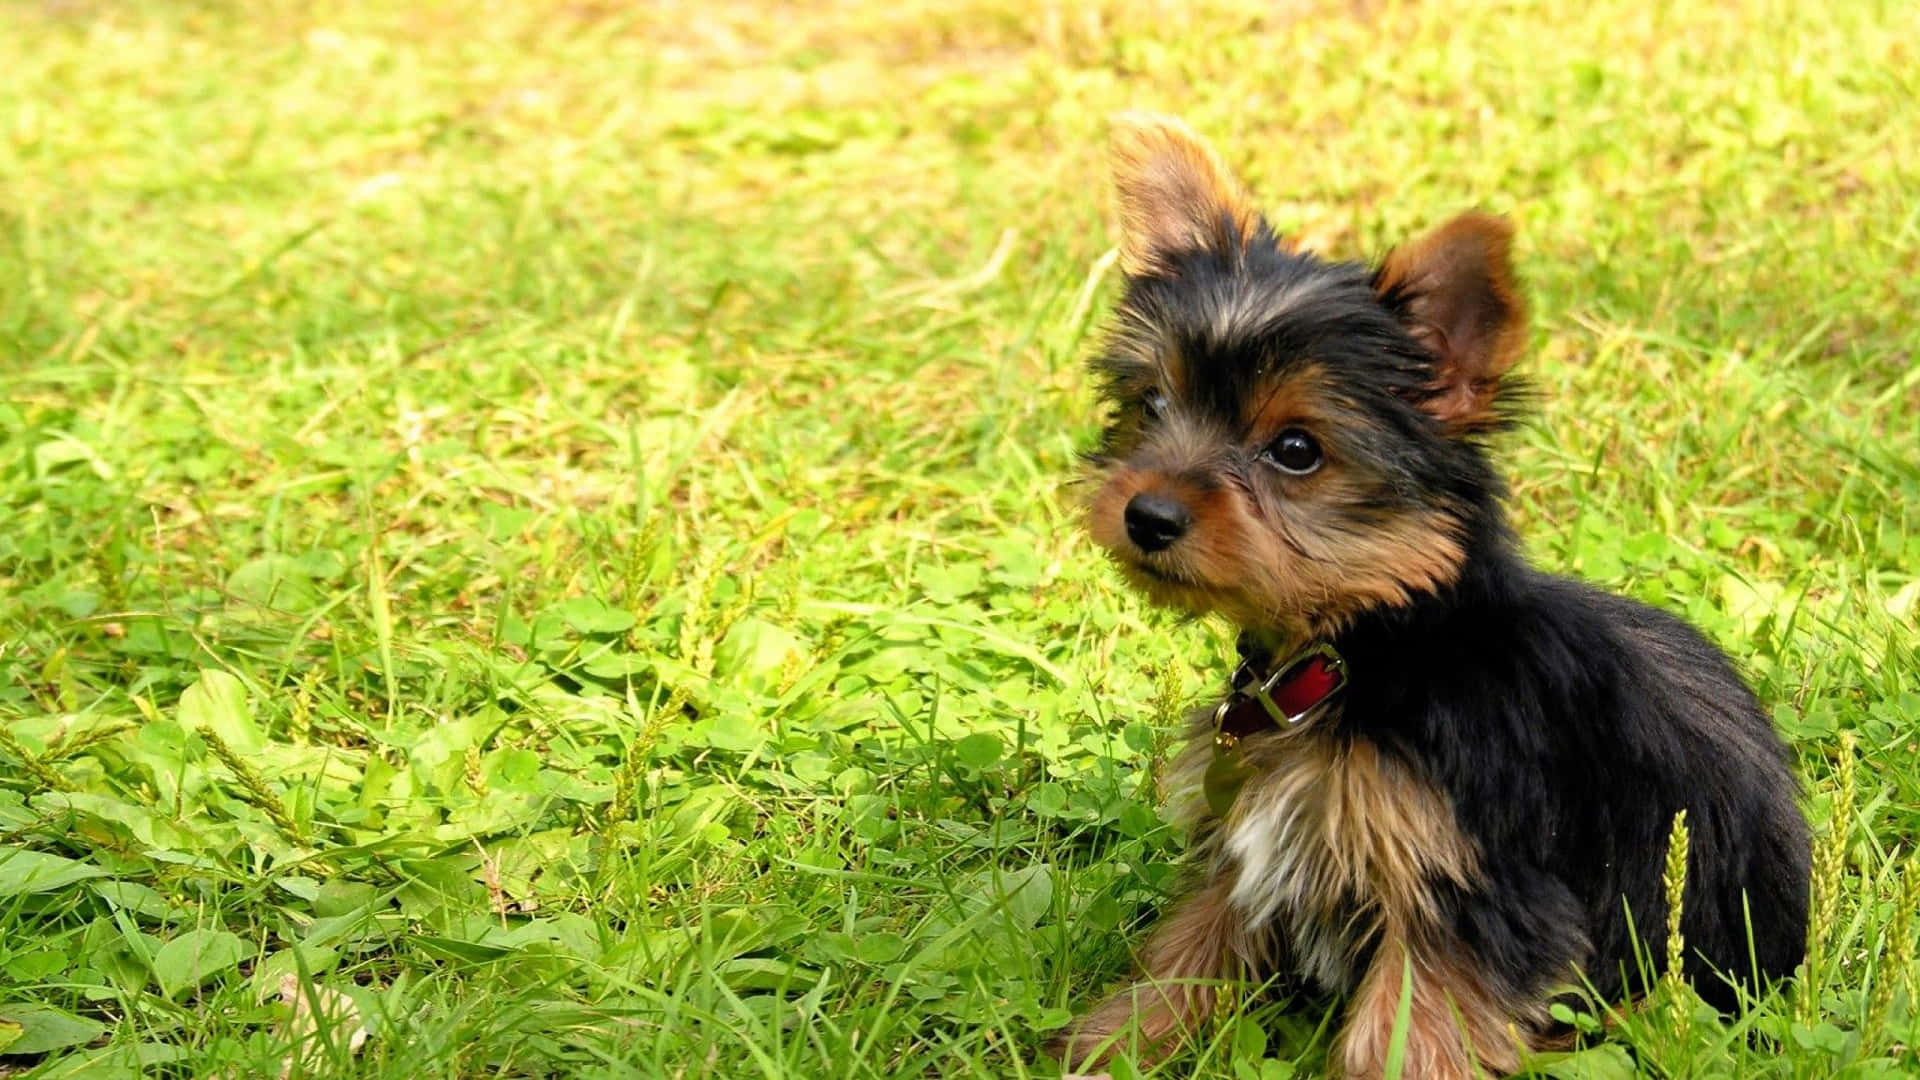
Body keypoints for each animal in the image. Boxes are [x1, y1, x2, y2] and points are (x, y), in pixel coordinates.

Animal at [1059, 113, 1804, 1068]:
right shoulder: (1249, 844)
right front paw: (1115, 1042)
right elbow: (1194, 946)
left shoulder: (1471, 889)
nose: (1146, 514)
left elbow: (1409, 1031)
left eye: (1296, 451)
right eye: (1151, 404)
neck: (1366, 648)